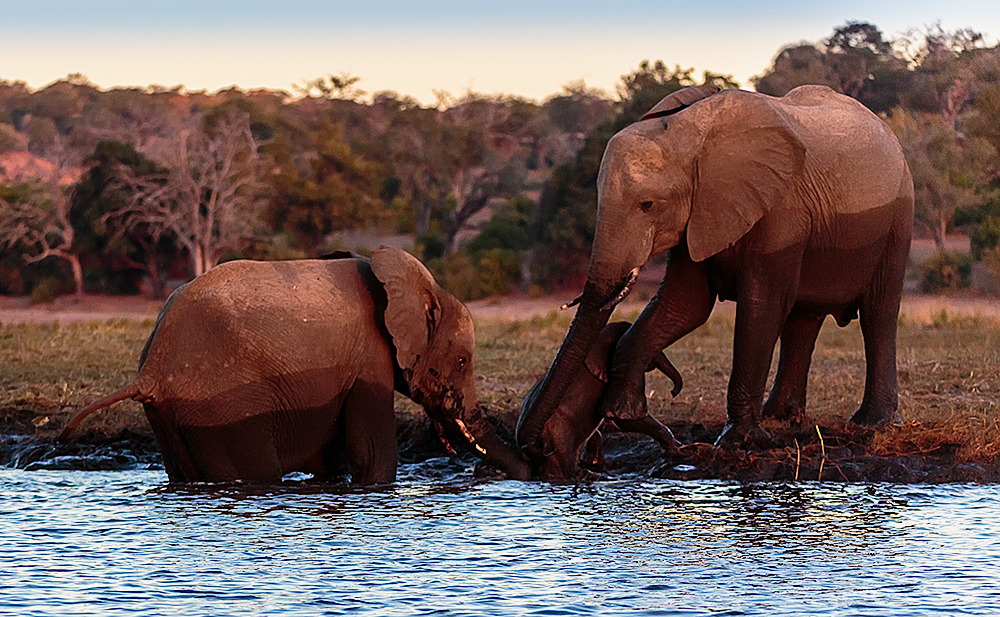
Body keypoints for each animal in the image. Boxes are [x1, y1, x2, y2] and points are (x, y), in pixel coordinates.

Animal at [60, 248, 532, 484]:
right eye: (462, 360)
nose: (487, 472)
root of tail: (151, 370)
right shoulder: (368, 359)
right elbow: (371, 452)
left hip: (169, 417)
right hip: (221, 410)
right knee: (257, 472)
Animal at [516, 84, 916, 454]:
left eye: (647, 205)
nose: (537, 447)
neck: (690, 137)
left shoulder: (781, 211)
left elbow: (761, 308)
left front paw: (741, 441)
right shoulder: (698, 215)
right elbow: (685, 305)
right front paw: (623, 411)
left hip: (898, 218)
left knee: (877, 314)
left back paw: (873, 423)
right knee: (802, 320)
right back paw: (781, 418)